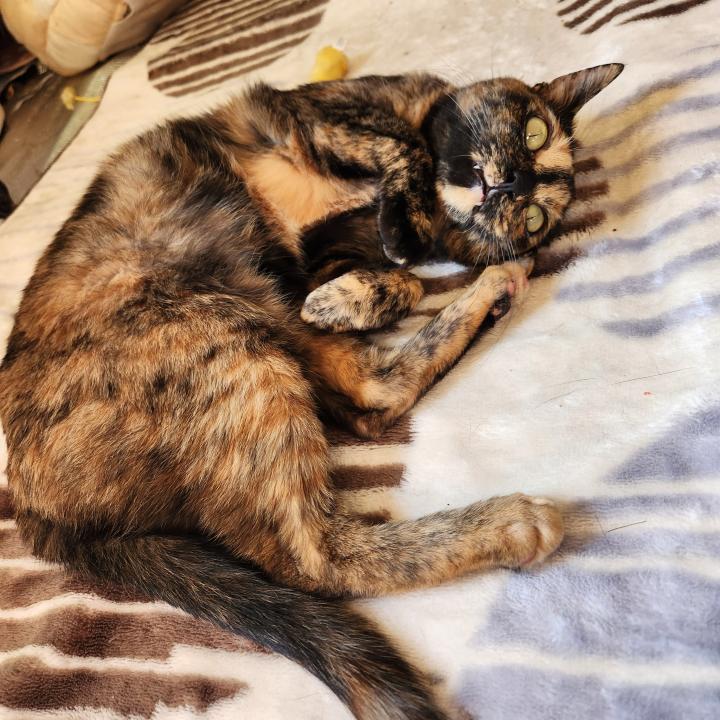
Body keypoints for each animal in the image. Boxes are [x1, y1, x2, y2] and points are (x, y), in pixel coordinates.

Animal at [0, 65, 622, 719]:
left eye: (534, 220)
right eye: (533, 132)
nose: (511, 184)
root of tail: (33, 509)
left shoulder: (332, 255)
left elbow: (397, 277)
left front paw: (349, 296)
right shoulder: (317, 116)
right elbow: (402, 147)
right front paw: (370, 269)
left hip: (256, 334)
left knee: (351, 455)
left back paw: (498, 291)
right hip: (232, 342)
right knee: (315, 548)